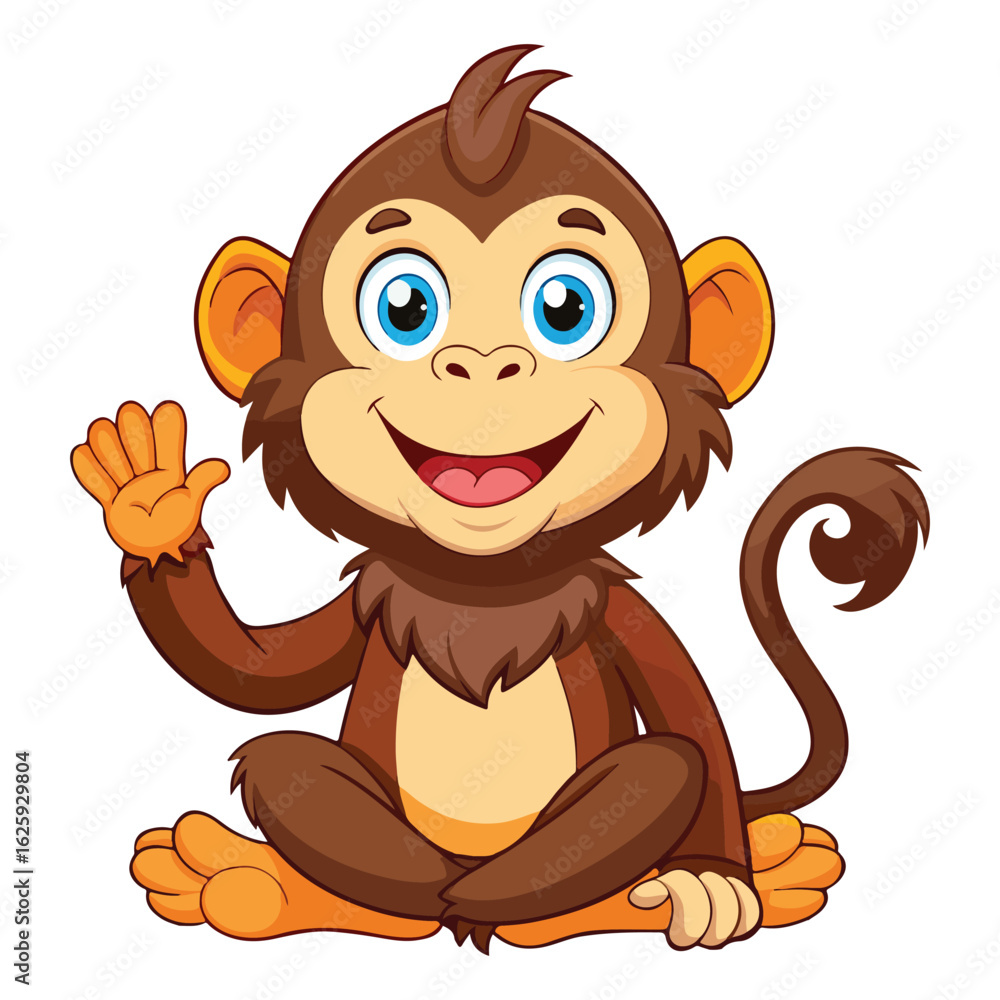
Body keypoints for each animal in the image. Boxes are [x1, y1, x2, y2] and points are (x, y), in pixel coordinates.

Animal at [70, 45, 928, 954]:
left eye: (566, 306)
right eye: (405, 306)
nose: (483, 363)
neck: (483, 584)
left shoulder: (627, 620)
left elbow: (694, 723)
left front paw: (714, 883)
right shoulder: (367, 604)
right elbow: (255, 670)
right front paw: (152, 502)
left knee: (664, 771)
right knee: (286, 766)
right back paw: (261, 882)